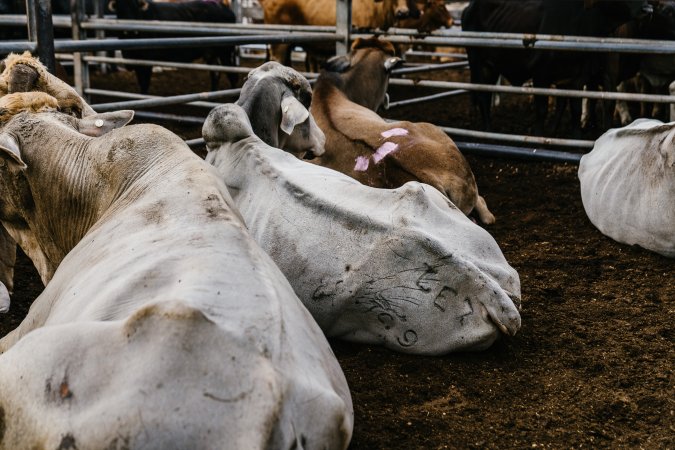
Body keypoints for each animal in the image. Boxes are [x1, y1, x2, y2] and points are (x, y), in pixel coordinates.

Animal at [464, 0, 656, 135]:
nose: (648, 9)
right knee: (482, 96)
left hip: (491, 66)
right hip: (477, 63)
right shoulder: (540, 76)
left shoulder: (577, 79)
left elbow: (576, 109)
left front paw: (576, 137)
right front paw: (539, 136)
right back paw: (488, 130)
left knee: (486, 95)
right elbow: (542, 109)